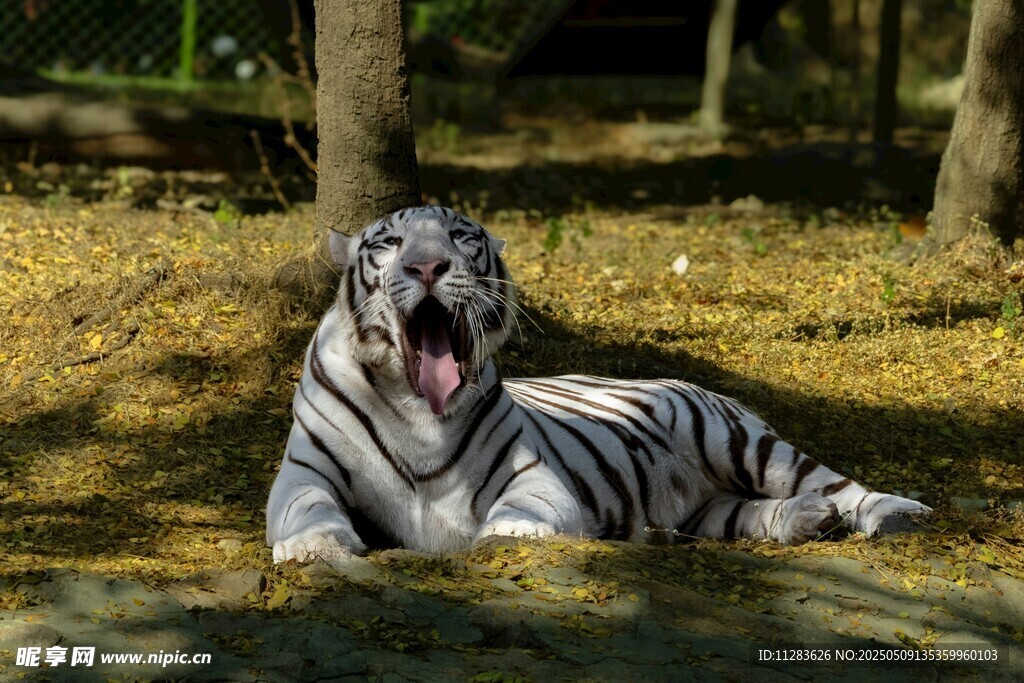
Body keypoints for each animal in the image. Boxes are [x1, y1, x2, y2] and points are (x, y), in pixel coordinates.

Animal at [266, 206, 930, 565]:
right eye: (389, 243)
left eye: (460, 238)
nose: (427, 266)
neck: (415, 405)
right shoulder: (306, 471)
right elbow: (306, 508)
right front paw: (314, 548)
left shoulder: (532, 476)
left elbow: (521, 511)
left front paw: (508, 536)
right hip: (708, 508)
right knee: (749, 513)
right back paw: (806, 521)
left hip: (738, 441)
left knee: (835, 482)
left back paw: (901, 515)